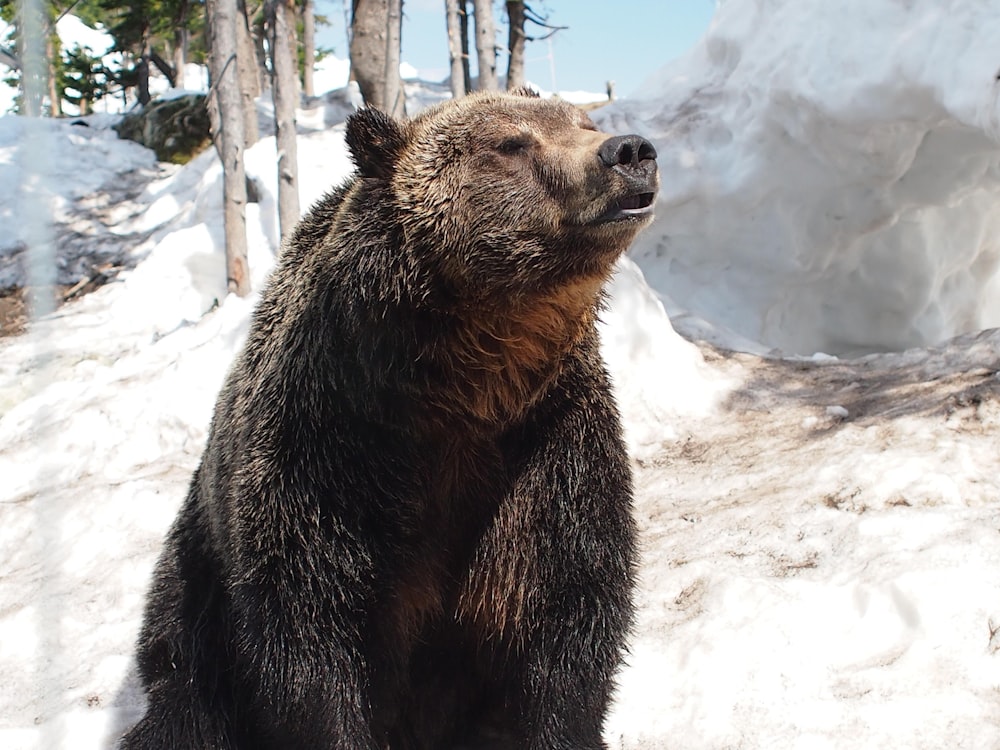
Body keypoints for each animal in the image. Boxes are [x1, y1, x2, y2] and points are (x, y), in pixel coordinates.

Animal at [121, 89, 660, 750]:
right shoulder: (332, 450)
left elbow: (568, 611)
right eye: (511, 142)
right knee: (184, 697)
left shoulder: (548, 446)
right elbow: (312, 640)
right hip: (195, 589)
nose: (629, 151)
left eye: (583, 120)